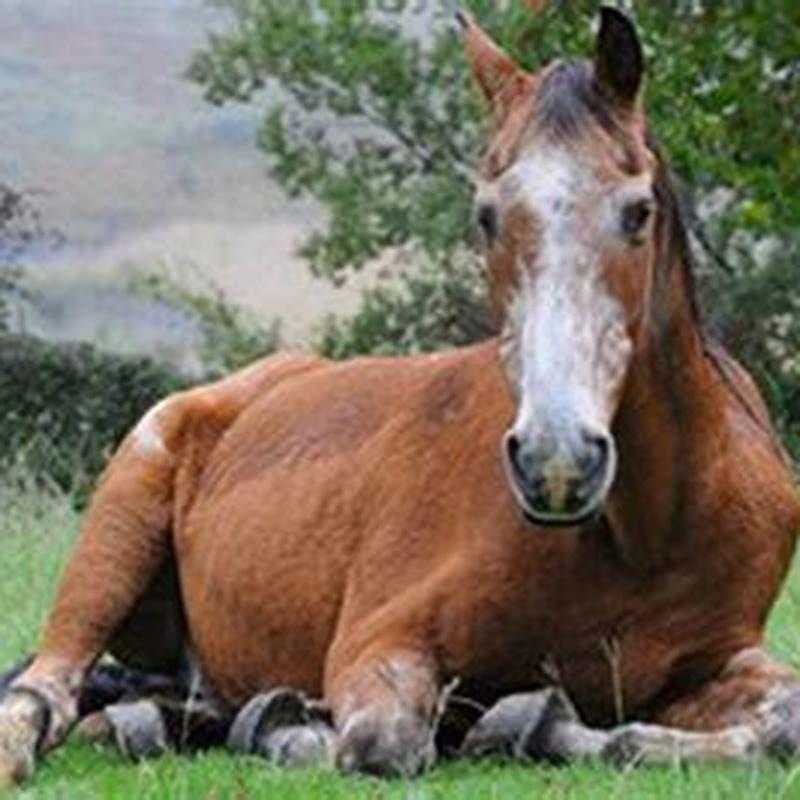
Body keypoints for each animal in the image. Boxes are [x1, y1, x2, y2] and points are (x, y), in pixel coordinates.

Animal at [2, 6, 800, 786]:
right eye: (486, 215)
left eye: (638, 211)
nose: (557, 461)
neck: (647, 535)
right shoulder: (379, 641)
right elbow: (383, 740)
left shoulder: (712, 661)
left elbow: (773, 725)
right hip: (118, 526)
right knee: (47, 689)